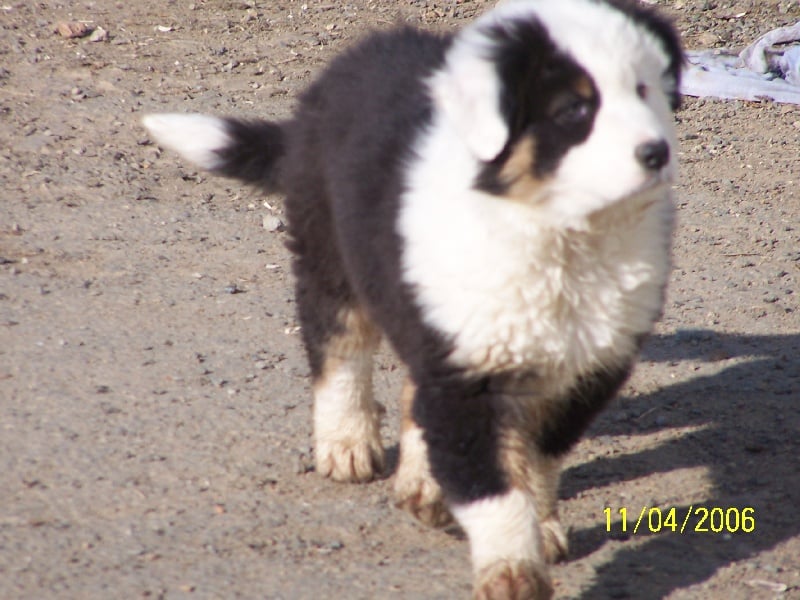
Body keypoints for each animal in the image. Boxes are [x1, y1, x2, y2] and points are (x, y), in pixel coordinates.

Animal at [142, 0, 680, 596]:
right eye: (574, 110)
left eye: (644, 90)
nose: (656, 153)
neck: (563, 237)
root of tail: (346, 67)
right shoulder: (465, 368)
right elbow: (493, 485)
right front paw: (512, 569)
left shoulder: (585, 367)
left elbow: (534, 457)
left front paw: (539, 529)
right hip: (331, 252)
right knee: (339, 350)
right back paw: (348, 445)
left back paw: (420, 483)